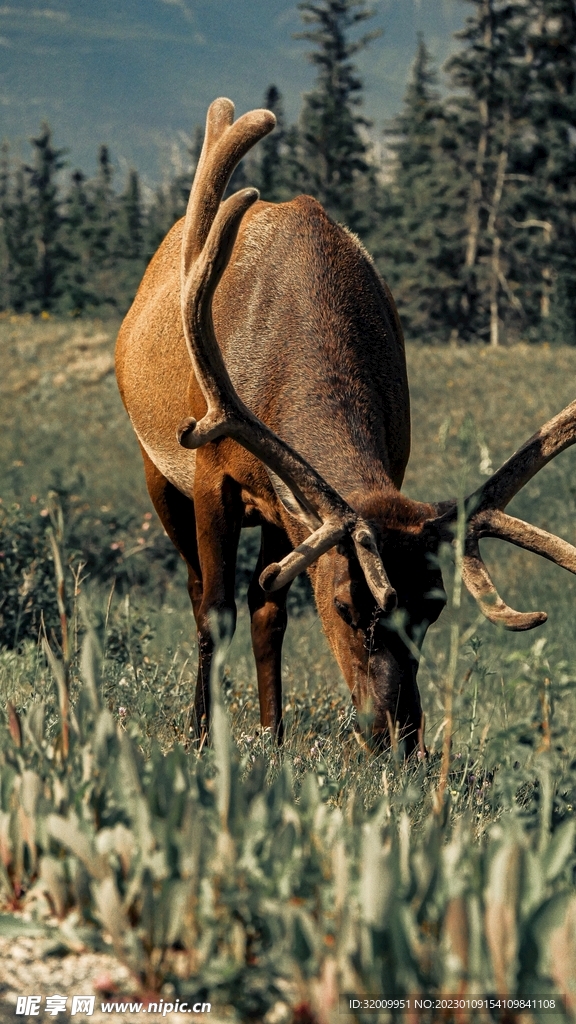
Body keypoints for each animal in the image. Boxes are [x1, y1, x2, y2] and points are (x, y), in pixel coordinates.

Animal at [115, 97, 576, 756]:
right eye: (342, 606)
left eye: (435, 607)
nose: (399, 737)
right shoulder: (211, 470)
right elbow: (214, 611)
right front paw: (201, 739)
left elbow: (266, 603)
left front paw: (268, 733)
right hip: (158, 472)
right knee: (199, 588)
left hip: (282, 514)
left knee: (267, 604)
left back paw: (273, 731)